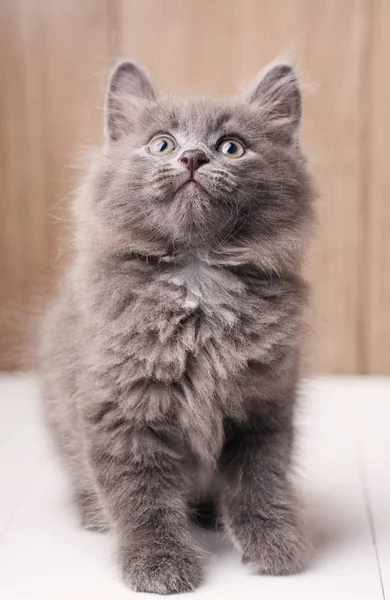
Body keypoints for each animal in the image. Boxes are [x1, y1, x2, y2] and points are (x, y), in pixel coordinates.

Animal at [41, 58, 316, 592]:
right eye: (161, 144)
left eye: (231, 147)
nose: (192, 158)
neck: (197, 277)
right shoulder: (120, 410)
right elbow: (141, 498)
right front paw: (159, 565)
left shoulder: (263, 408)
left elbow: (260, 482)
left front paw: (275, 546)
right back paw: (93, 516)